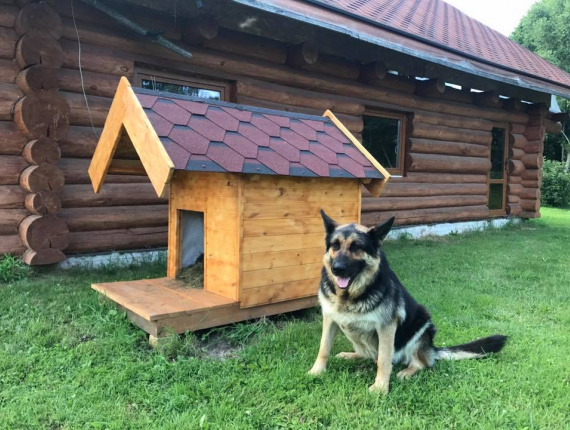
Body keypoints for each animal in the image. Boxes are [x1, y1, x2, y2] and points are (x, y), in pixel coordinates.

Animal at [306, 210, 506, 394]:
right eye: (335, 245)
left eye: (356, 247)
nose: (337, 269)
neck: (350, 295)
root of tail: (432, 348)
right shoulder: (330, 320)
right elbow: (323, 348)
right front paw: (316, 371)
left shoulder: (386, 328)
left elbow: (384, 360)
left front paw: (380, 388)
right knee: (367, 354)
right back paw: (350, 355)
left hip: (422, 326)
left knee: (420, 363)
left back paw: (407, 371)